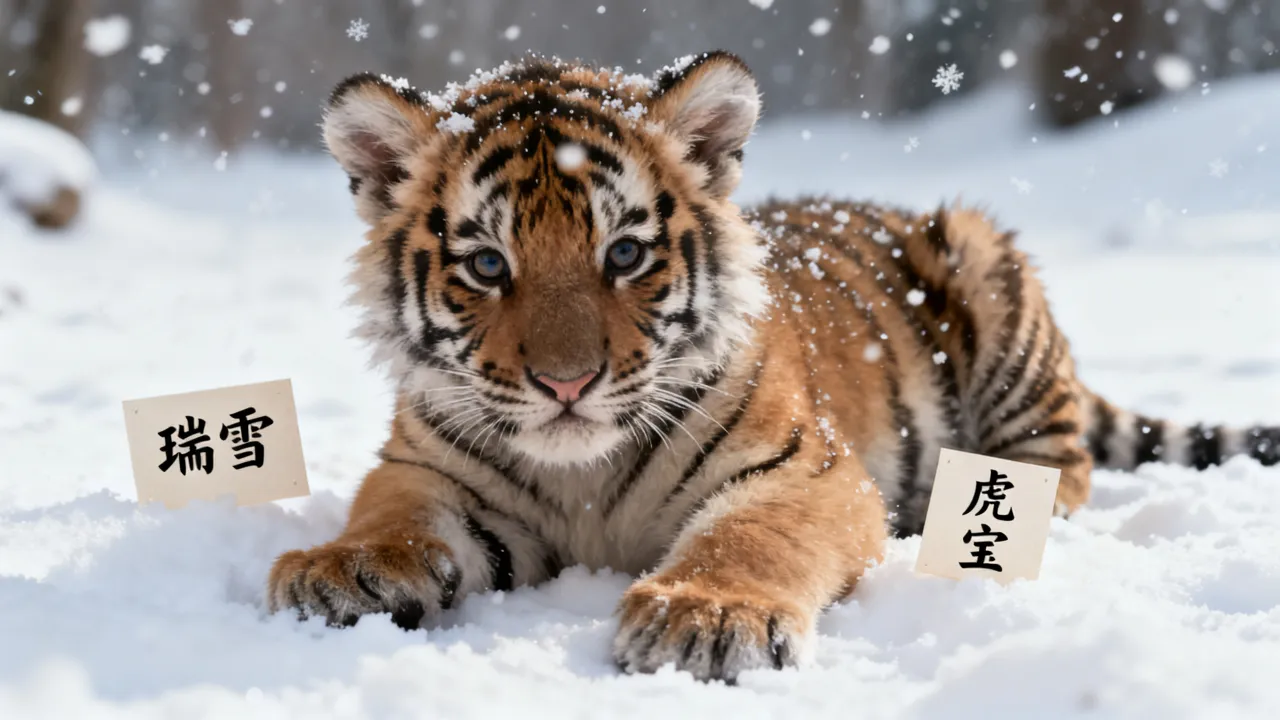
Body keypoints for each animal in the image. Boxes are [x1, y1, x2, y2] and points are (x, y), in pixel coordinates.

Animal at [267, 51, 1280, 682]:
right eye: (487, 265)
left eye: (624, 255)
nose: (566, 384)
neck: (583, 482)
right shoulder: (424, 465)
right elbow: (391, 517)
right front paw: (337, 568)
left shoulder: (805, 470)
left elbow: (750, 537)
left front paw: (706, 616)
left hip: (984, 263)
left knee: (1059, 473)